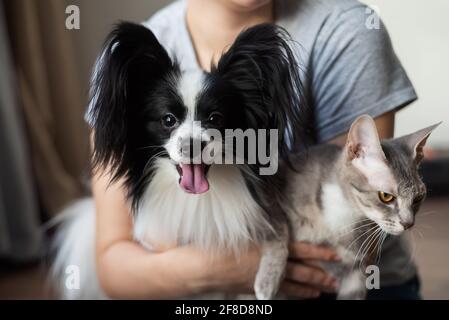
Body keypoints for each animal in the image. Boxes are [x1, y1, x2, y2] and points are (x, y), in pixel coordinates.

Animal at [256, 115, 438, 300]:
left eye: (418, 198)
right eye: (386, 196)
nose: (408, 224)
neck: (344, 212)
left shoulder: (355, 271)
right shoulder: (266, 194)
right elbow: (277, 230)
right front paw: (268, 281)